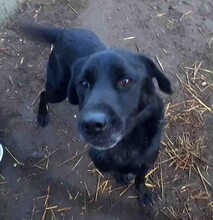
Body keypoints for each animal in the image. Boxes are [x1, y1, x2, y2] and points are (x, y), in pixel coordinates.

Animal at [20, 23, 172, 206]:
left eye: (126, 81)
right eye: (83, 83)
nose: (92, 125)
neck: (128, 142)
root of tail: (64, 31)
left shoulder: (147, 161)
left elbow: (140, 179)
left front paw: (143, 193)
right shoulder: (100, 159)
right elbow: (115, 169)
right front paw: (121, 176)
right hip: (59, 90)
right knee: (43, 93)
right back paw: (42, 115)